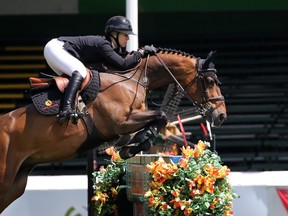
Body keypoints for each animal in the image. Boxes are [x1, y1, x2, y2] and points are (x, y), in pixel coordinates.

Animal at [0, 47, 226, 213]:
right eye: (210, 81)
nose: (221, 115)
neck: (134, 80)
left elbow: (157, 120)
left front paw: (133, 144)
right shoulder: (120, 122)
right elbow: (161, 116)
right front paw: (134, 145)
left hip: (16, 183)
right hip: (5, 177)